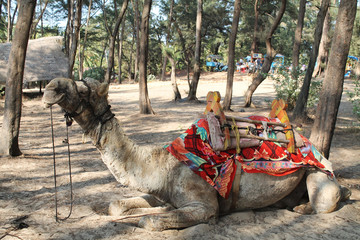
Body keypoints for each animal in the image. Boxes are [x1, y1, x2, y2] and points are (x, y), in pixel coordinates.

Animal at [42, 77, 348, 231]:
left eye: (84, 90)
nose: (49, 88)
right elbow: (117, 205)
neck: (161, 165)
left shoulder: (205, 204)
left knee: (326, 200)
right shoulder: (159, 191)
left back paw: (302, 207)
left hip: (318, 174)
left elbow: (149, 221)